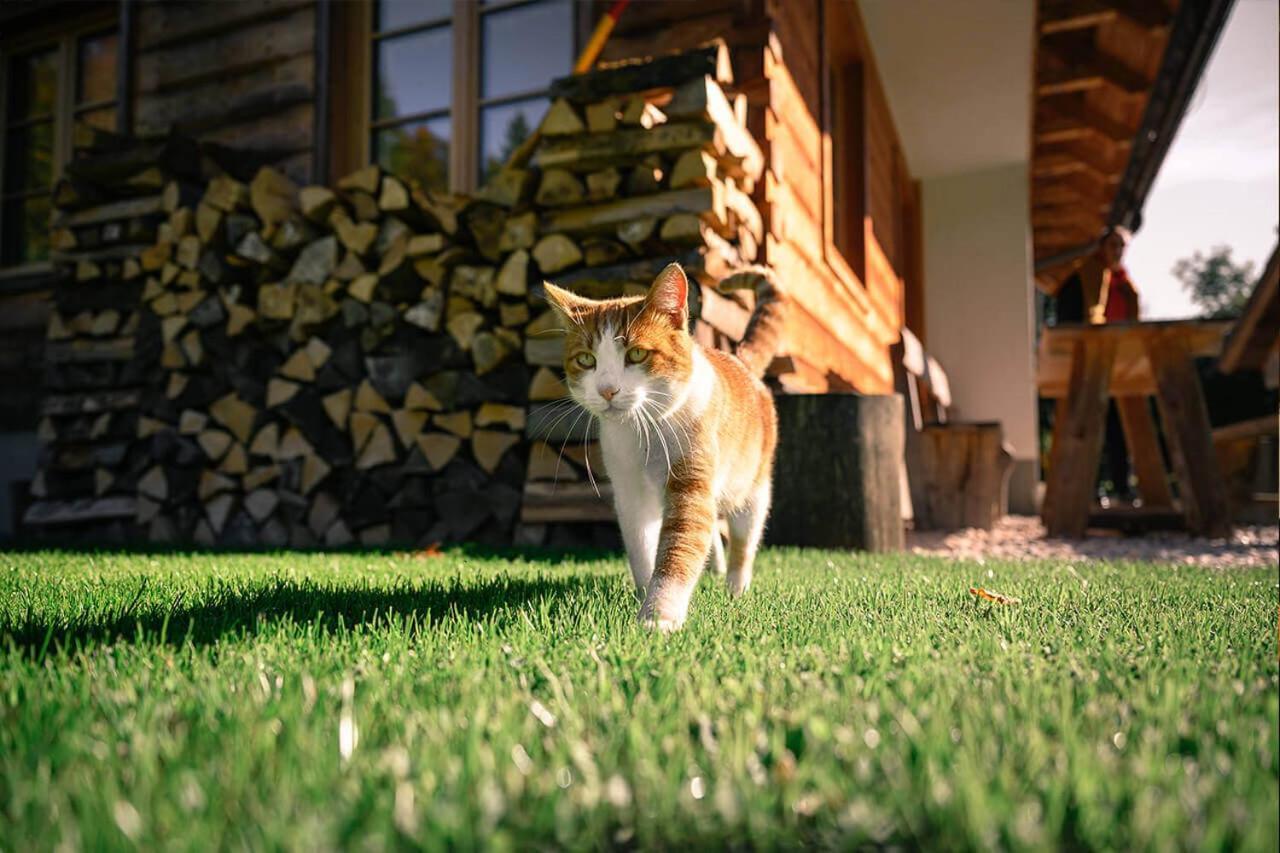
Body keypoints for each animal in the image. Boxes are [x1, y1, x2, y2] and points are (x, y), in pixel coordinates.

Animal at [540, 262, 778, 627]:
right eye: (586, 360)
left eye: (637, 354)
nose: (607, 389)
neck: (643, 433)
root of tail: (740, 360)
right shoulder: (629, 491)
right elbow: (641, 546)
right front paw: (643, 594)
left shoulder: (690, 480)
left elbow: (680, 545)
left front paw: (659, 615)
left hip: (752, 484)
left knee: (744, 536)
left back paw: (735, 587)